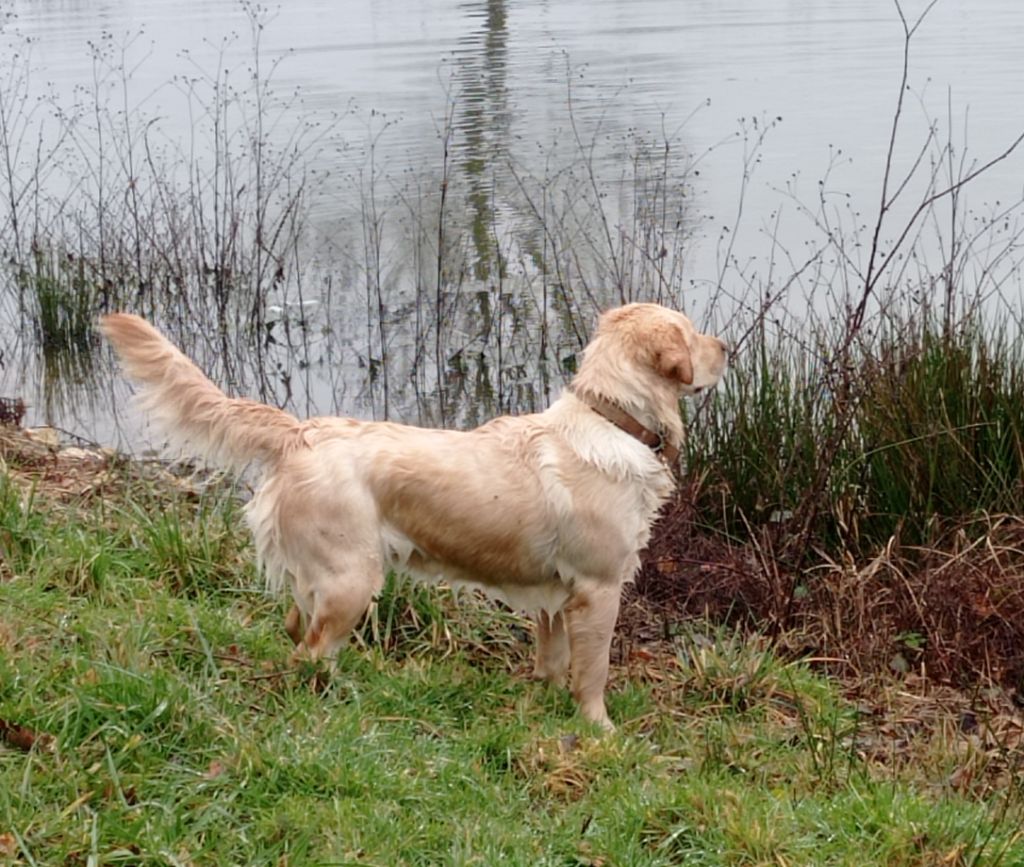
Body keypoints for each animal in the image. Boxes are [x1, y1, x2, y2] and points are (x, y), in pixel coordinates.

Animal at [101, 302, 729, 724]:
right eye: (691, 332)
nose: (726, 346)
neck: (612, 419)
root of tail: (301, 431)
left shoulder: (554, 595)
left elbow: (552, 660)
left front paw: (547, 700)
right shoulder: (597, 589)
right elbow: (592, 671)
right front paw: (599, 729)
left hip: (322, 577)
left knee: (294, 627)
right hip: (353, 578)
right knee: (309, 655)